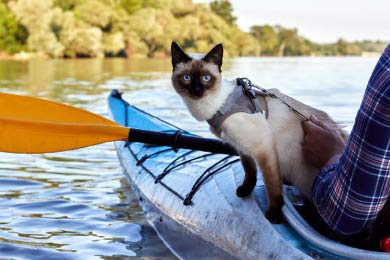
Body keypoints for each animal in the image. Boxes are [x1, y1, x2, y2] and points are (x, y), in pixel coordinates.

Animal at [171, 41, 348, 222]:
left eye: (206, 78)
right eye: (187, 78)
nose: (196, 90)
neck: (215, 106)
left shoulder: (264, 146)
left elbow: (272, 186)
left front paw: (274, 215)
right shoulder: (242, 146)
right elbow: (250, 171)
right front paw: (245, 191)